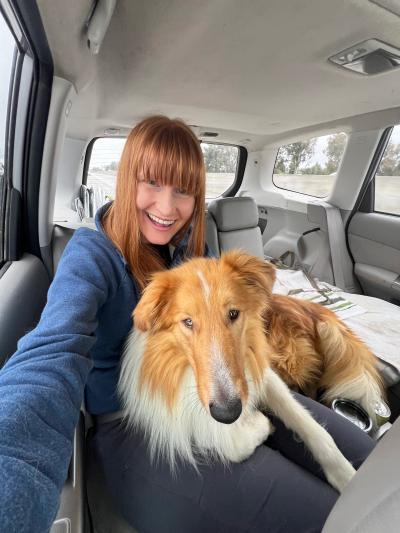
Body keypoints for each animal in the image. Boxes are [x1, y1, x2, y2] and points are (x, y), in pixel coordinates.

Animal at [116, 251, 376, 492]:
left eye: (233, 314)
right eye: (187, 322)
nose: (228, 412)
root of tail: (311, 308)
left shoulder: (262, 371)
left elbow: (310, 424)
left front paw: (344, 474)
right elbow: (231, 444)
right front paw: (261, 422)